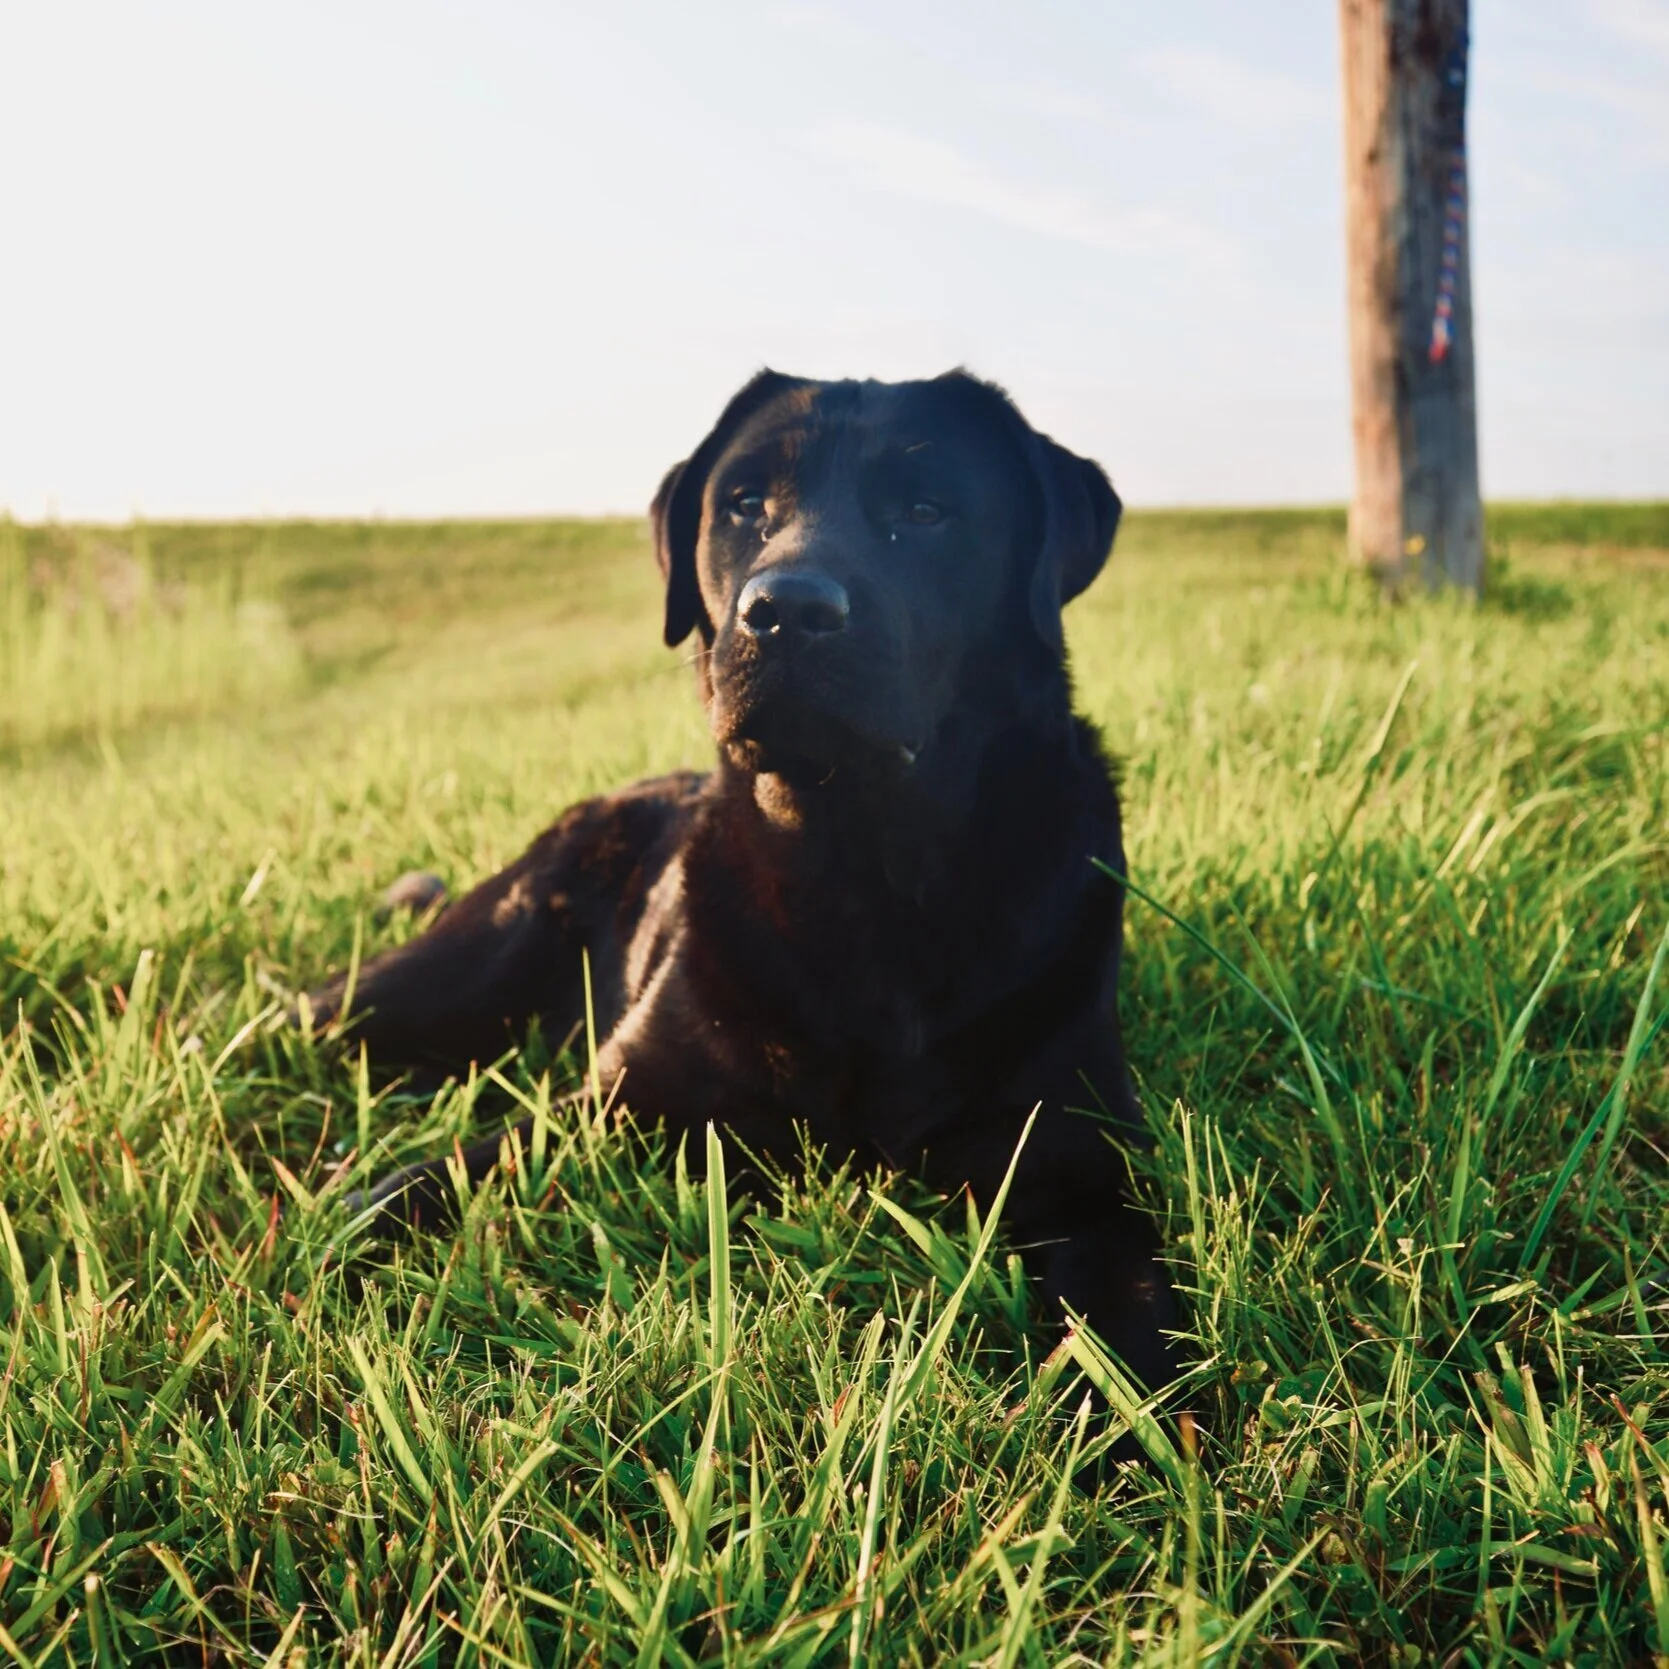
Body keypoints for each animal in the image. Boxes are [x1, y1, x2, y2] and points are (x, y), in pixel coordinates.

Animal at [303, 369, 1178, 1392]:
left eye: (926, 511)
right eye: (745, 505)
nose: (786, 608)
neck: (856, 872)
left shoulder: (1073, 1158)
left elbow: (1137, 1330)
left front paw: (1143, 1415)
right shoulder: (620, 1104)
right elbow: (435, 1176)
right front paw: (344, 1223)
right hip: (439, 977)